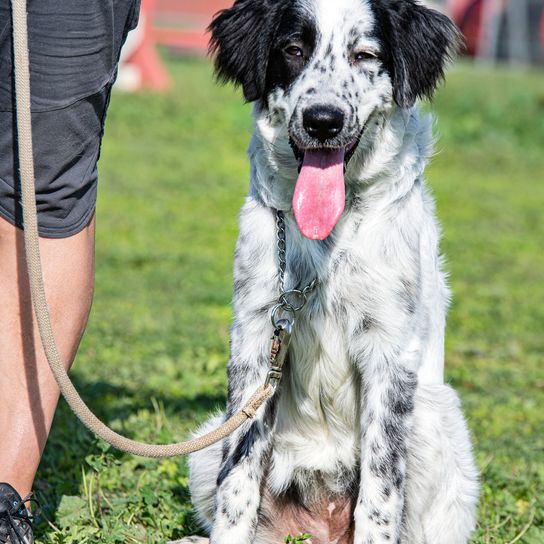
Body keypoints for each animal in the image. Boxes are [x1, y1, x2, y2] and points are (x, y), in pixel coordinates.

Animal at [189, 1, 478, 544]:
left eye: (364, 54)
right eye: (293, 50)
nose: (323, 120)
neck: (327, 238)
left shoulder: (390, 354)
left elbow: (381, 490)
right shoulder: (255, 338)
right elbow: (237, 479)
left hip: (436, 418)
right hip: (204, 442)